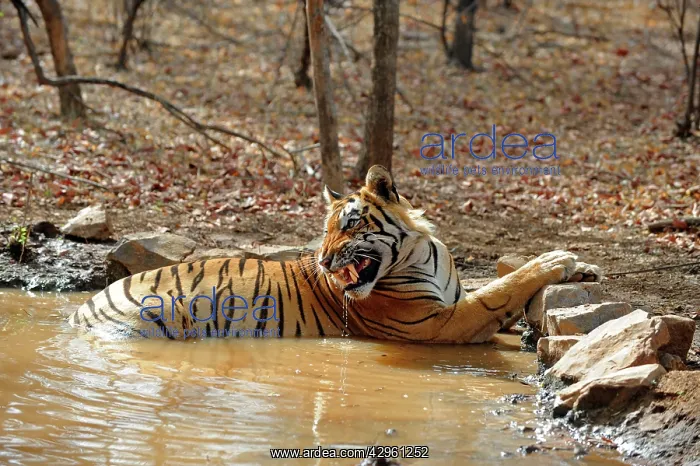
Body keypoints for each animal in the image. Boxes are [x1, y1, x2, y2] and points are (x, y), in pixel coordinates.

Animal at [69, 165, 602, 343]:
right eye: (323, 233)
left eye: (348, 226)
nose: (326, 262)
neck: (424, 253)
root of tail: (82, 308)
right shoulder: (436, 323)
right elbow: (500, 290)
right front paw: (555, 260)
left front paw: (584, 270)